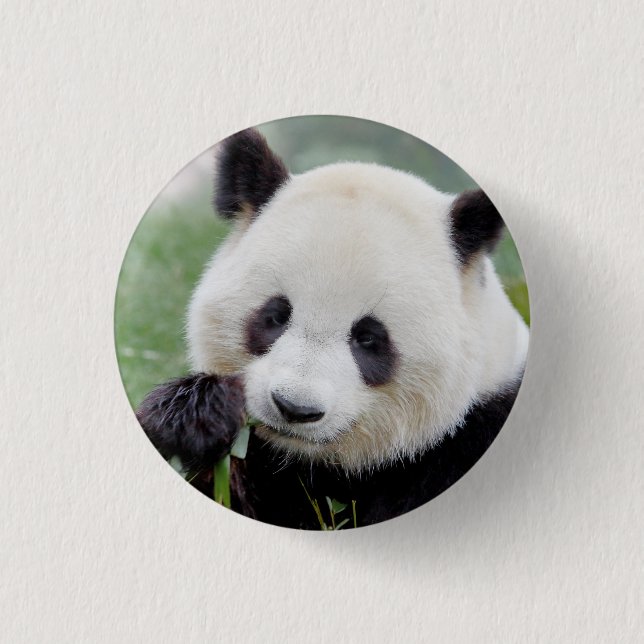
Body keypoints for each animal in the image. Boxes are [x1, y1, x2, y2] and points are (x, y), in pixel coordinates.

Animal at [137, 127, 529, 529]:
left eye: (368, 338)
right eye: (276, 316)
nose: (294, 408)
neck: (314, 462)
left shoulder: (466, 439)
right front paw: (196, 417)